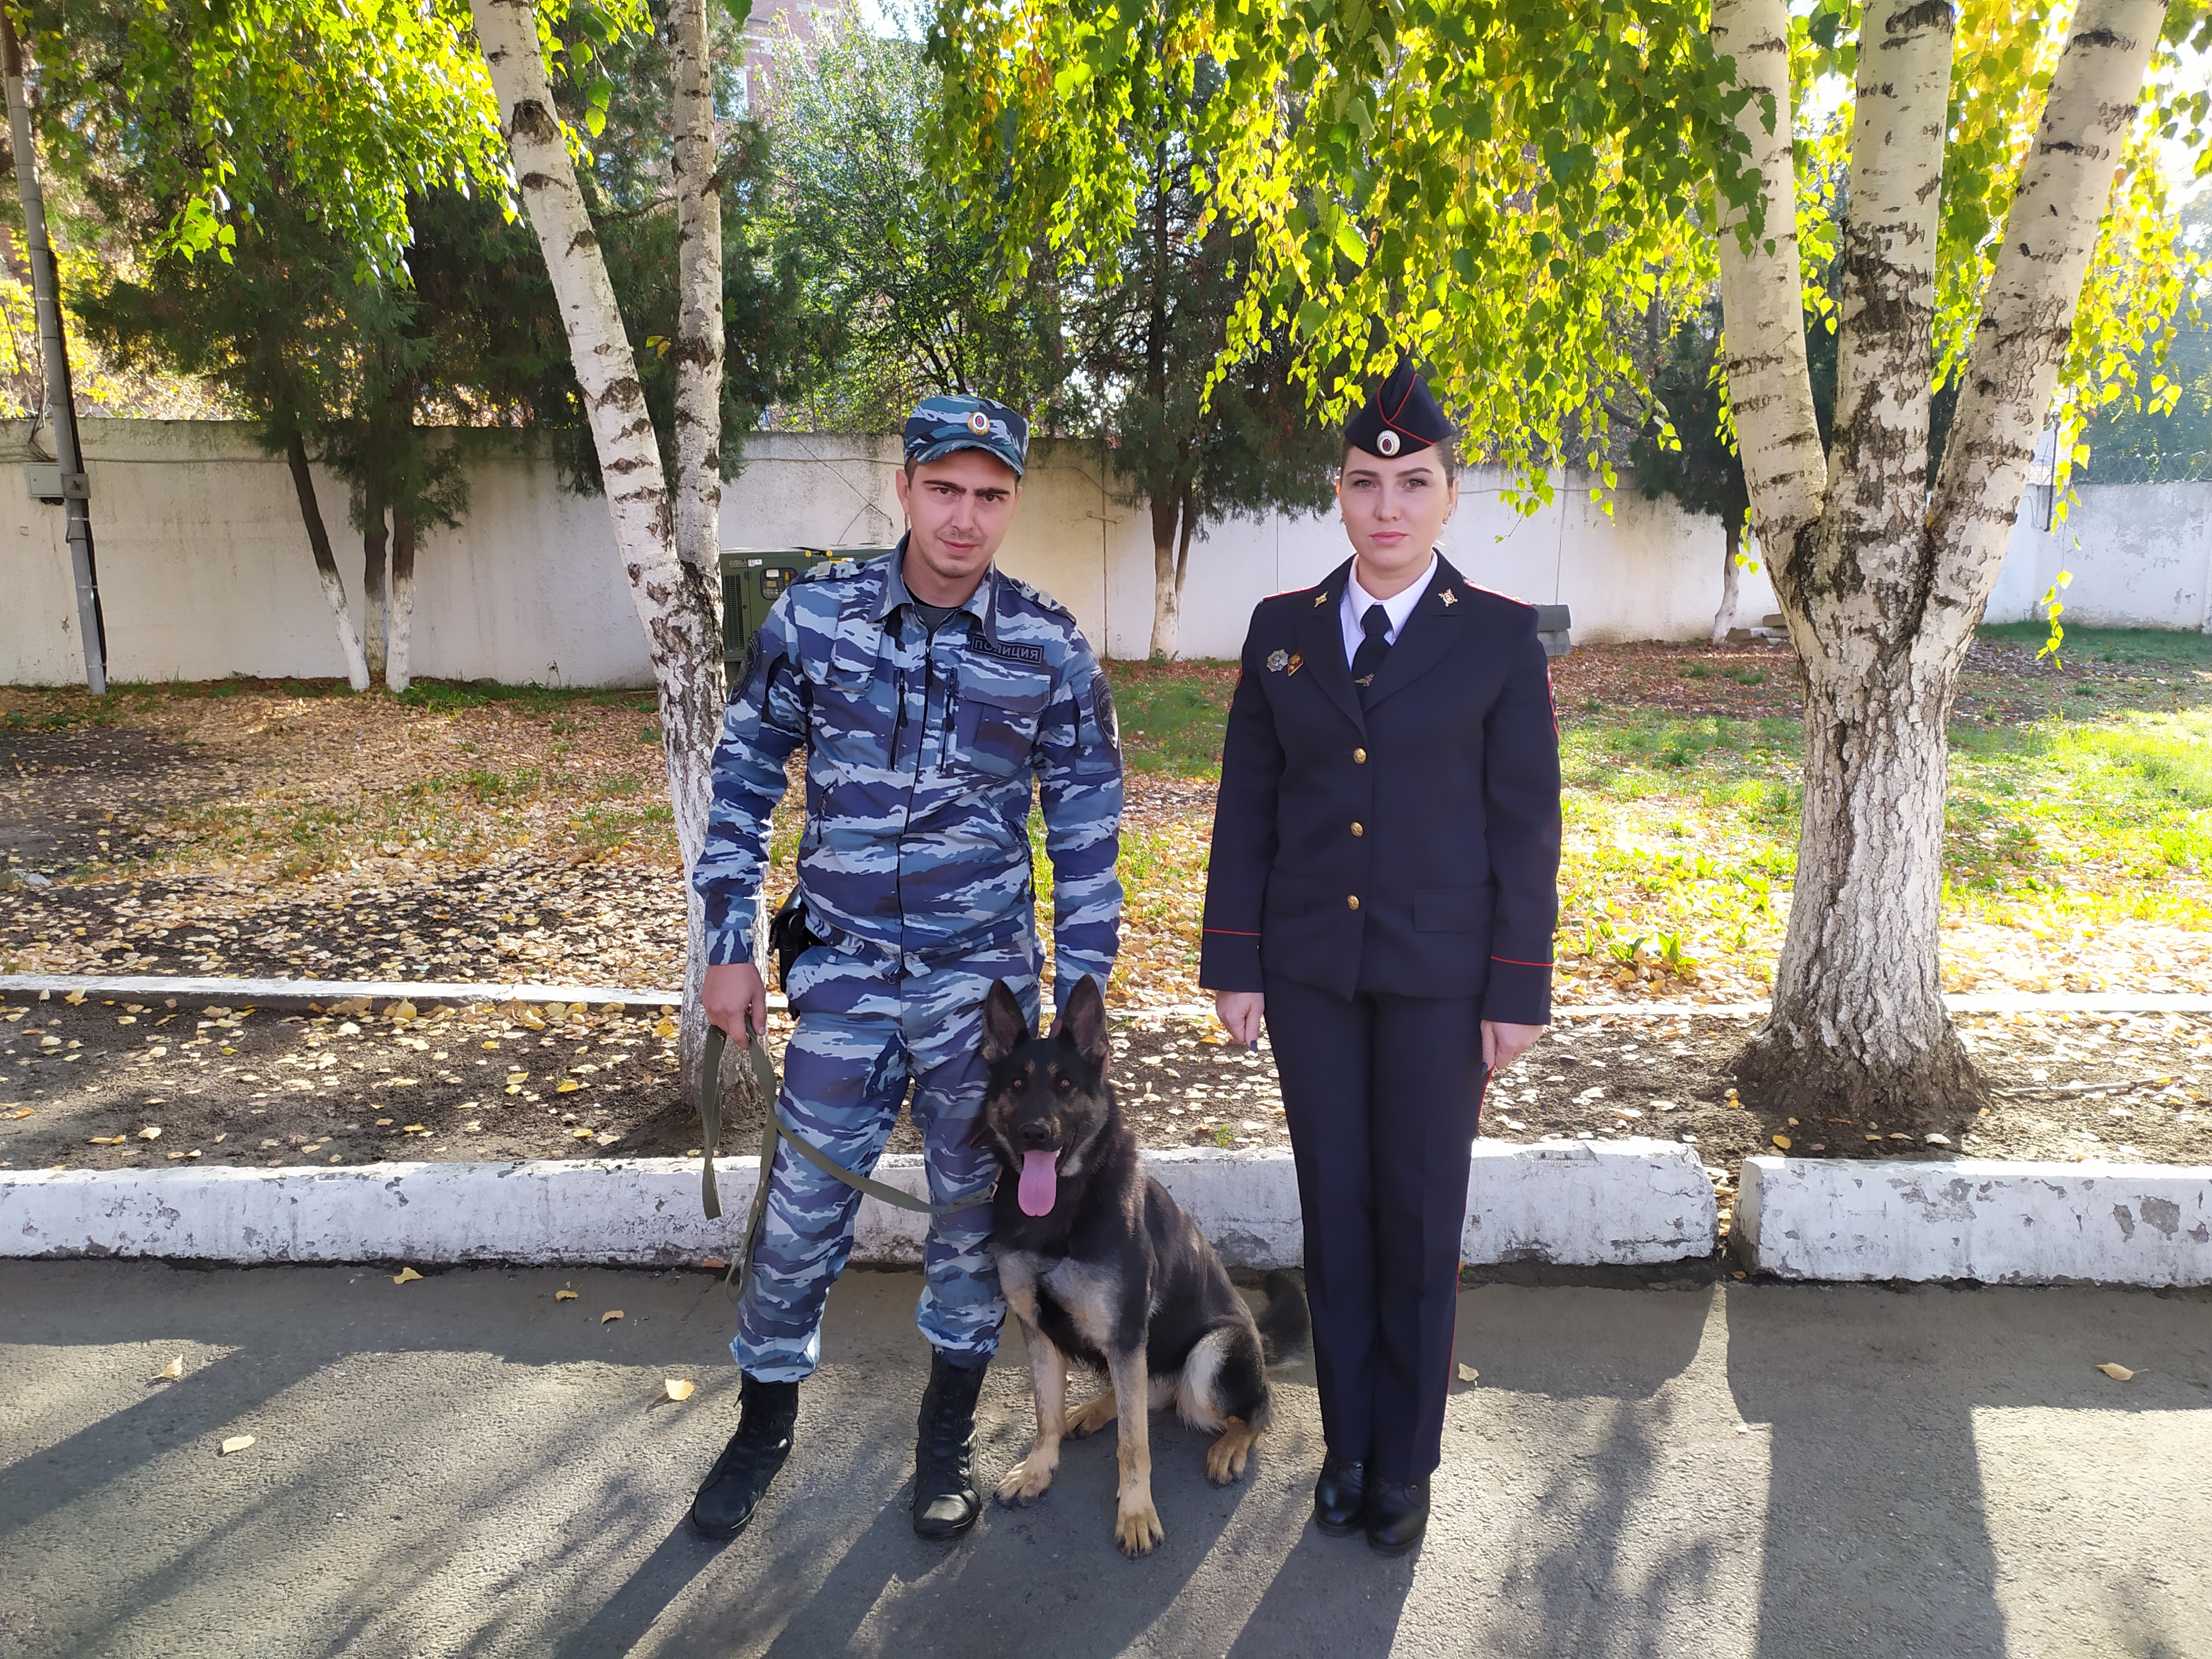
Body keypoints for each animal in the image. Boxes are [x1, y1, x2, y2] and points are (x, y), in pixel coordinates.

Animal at [973, 973, 1310, 1557]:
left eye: (1065, 1084)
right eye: (1016, 1084)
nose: (1035, 1133)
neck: (1063, 1209)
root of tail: (1258, 1342)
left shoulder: (1128, 1333)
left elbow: (1134, 1446)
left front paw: (1135, 1513)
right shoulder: (1039, 1331)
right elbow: (1045, 1414)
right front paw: (1040, 1468)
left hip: (1210, 1358)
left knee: (1251, 1410)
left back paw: (1230, 1445)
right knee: (1145, 1394)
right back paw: (1091, 1411)